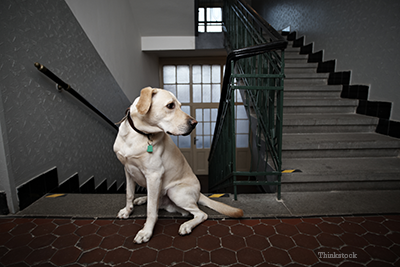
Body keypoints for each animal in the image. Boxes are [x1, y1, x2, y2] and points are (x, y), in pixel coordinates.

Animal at [113, 88, 244, 245]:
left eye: (180, 106)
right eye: (170, 105)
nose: (195, 123)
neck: (139, 134)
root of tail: (199, 193)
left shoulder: (154, 175)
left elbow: (151, 210)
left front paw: (146, 232)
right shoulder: (128, 170)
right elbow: (129, 194)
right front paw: (127, 210)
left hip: (175, 192)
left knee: (201, 214)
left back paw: (187, 225)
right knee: (155, 200)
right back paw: (142, 199)